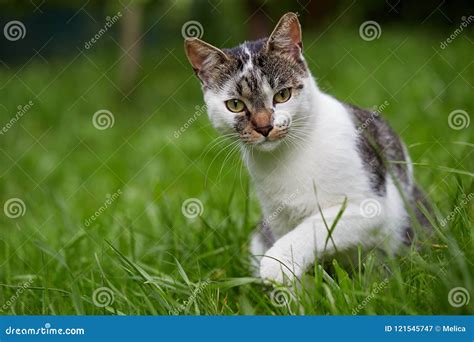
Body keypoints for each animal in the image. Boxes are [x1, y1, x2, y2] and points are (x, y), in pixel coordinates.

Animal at [183, 12, 432, 284]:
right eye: (235, 105)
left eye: (282, 95)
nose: (264, 126)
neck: (287, 156)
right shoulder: (277, 220)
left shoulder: (371, 208)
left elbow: (315, 226)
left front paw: (277, 263)